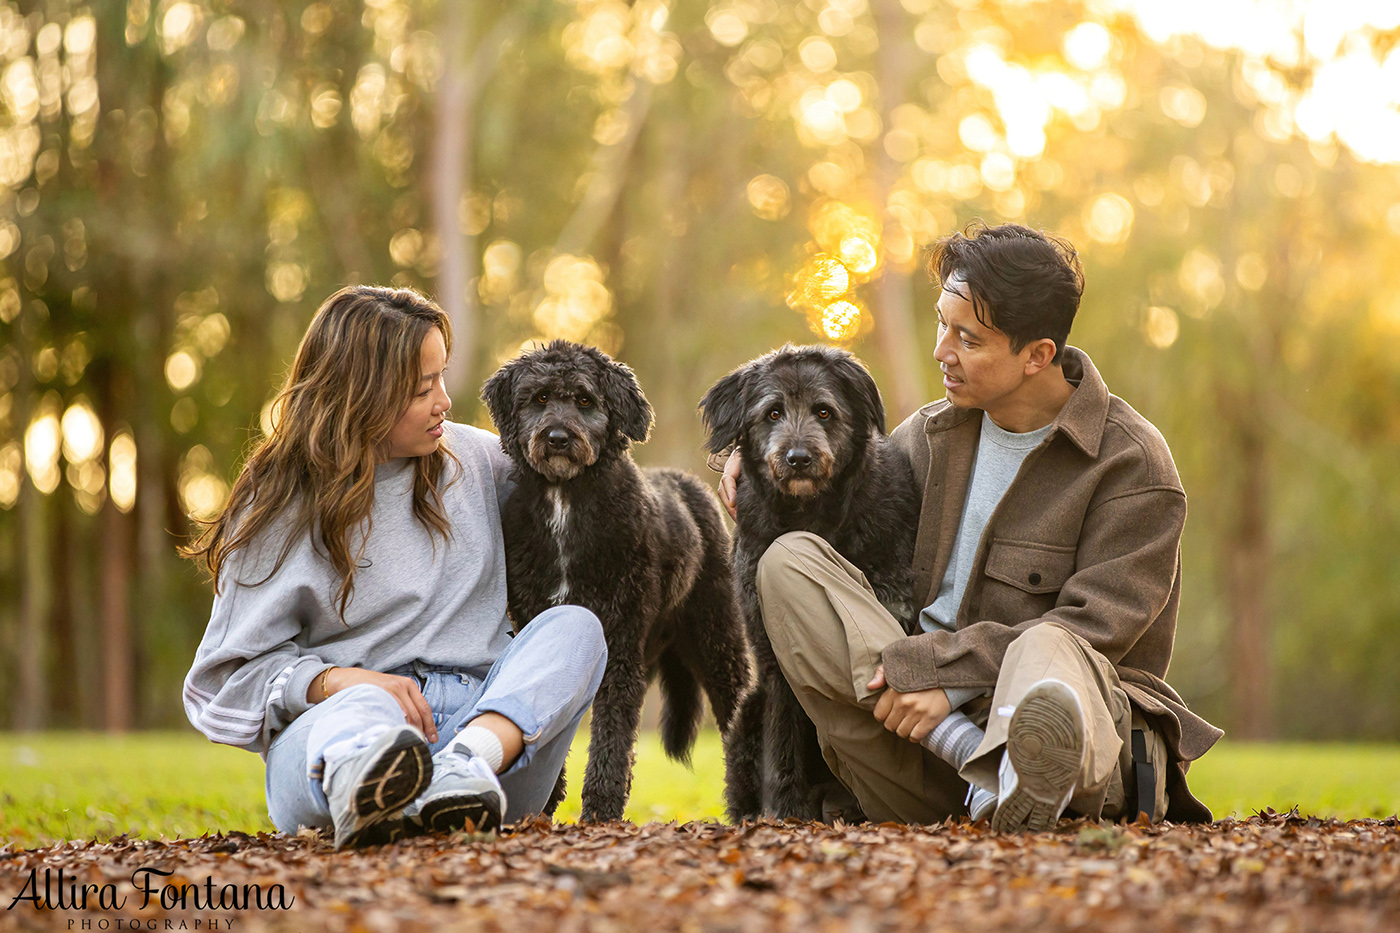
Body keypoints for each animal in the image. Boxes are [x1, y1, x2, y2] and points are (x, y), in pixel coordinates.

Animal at [484, 341, 756, 823]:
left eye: (585, 400)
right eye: (539, 397)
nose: (557, 437)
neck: (566, 502)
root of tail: (685, 481)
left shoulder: (621, 640)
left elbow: (611, 734)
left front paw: (600, 808)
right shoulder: (542, 619)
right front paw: (548, 802)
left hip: (716, 634)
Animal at [697, 343, 918, 823]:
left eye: (824, 411)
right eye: (773, 413)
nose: (798, 457)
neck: (808, 516)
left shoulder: (895, 601)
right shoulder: (770, 654)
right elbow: (783, 741)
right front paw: (783, 809)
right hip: (748, 714)